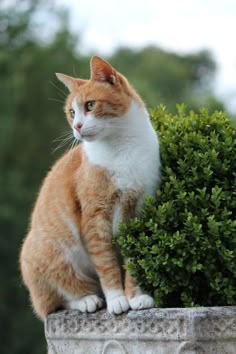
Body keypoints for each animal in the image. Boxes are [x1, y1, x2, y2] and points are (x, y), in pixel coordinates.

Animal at [19, 56, 160, 320]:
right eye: (72, 112)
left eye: (91, 105)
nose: (77, 126)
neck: (123, 147)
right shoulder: (95, 216)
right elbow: (105, 262)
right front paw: (117, 300)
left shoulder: (137, 210)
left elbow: (133, 260)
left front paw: (136, 296)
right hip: (49, 251)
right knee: (54, 302)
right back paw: (87, 300)